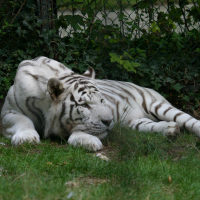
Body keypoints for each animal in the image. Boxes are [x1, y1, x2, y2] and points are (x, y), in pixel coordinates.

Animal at [1, 55, 200, 151]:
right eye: (84, 105)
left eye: (102, 101)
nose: (109, 121)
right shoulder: (7, 113)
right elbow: (23, 120)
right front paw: (26, 137)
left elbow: (80, 131)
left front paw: (87, 141)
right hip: (134, 123)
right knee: (150, 125)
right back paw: (170, 130)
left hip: (157, 105)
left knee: (189, 120)